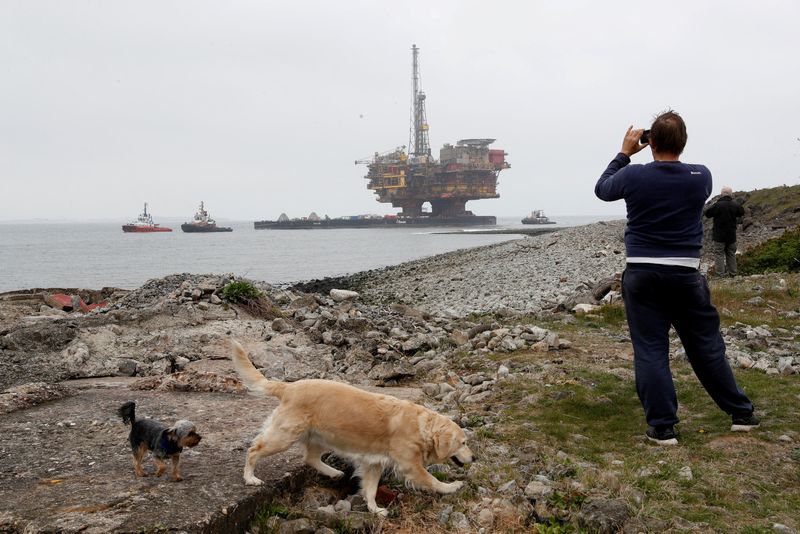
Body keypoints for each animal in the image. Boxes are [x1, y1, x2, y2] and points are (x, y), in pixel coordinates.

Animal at [228, 342, 472, 516]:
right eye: (463, 443)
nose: (474, 457)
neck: (422, 425)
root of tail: (289, 387)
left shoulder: (374, 463)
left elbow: (371, 488)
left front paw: (374, 509)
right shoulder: (409, 465)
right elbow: (430, 480)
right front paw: (452, 486)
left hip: (320, 436)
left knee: (310, 457)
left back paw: (333, 472)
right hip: (284, 436)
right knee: (254, 449)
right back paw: (250, 477)